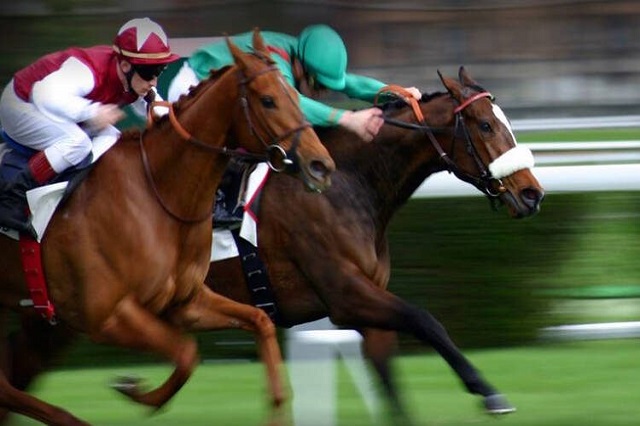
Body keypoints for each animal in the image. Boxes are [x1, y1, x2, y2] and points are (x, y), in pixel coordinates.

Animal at [0, 30, 335, 425]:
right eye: (268, 100)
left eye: (296, 96)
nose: (321, 166)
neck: (159, 195)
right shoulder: (109, 316)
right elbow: (187, 353)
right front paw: (135, 389)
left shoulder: (185, 302)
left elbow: (259, 321)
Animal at [200, 67, 544, 423]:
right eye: (486, 125)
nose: (532, 194)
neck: (345, 185)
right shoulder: (345, 295)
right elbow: (424, 319)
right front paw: (489, 392)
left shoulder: (368, 303)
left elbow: (389, 379)